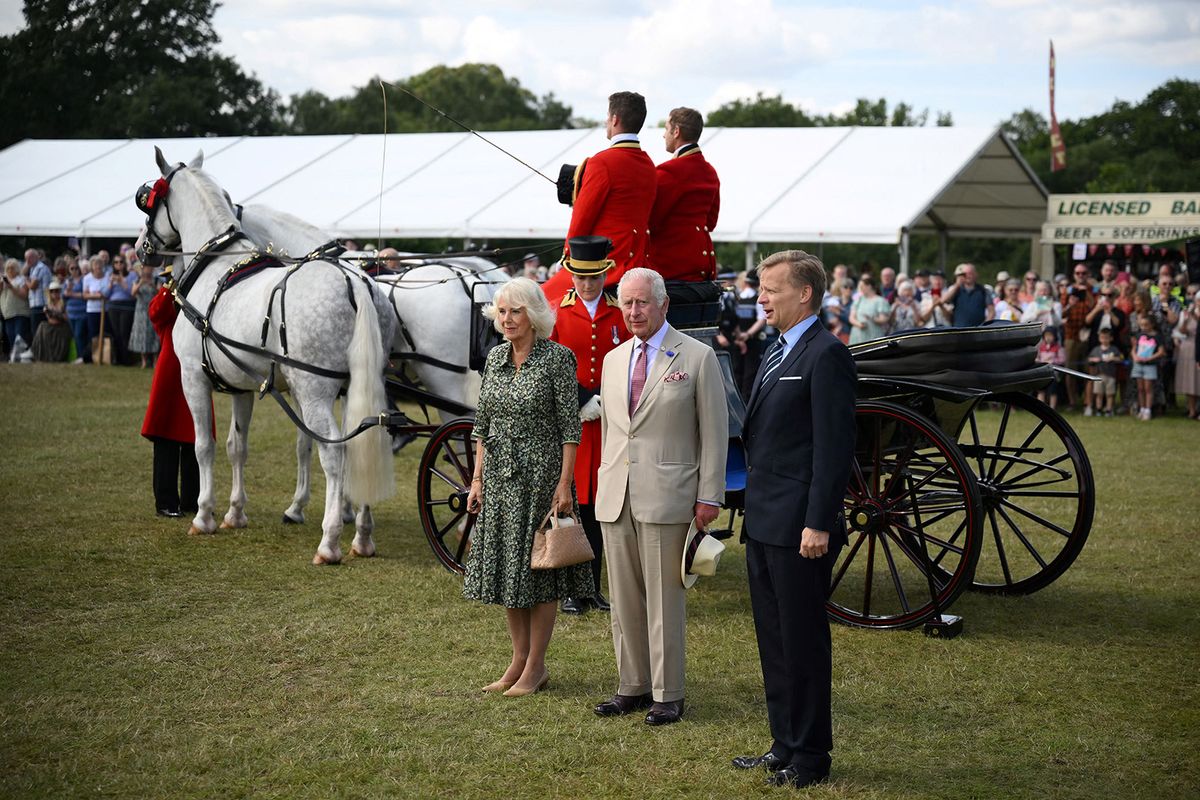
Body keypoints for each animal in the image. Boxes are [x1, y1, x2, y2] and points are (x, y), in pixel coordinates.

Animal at [138, 148, 393, 563]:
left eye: (147, 200)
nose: (139, 246)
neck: (213, 265)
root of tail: (354, 281)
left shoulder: (192, 376)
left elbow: (203, 446)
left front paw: (204, 516)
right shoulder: (241, 386)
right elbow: (236, 446)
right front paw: (235, 513)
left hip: (314, 391)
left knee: (334, 454)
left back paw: (330, 541)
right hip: (362, 387)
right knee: (362, 442)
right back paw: (363, 537)